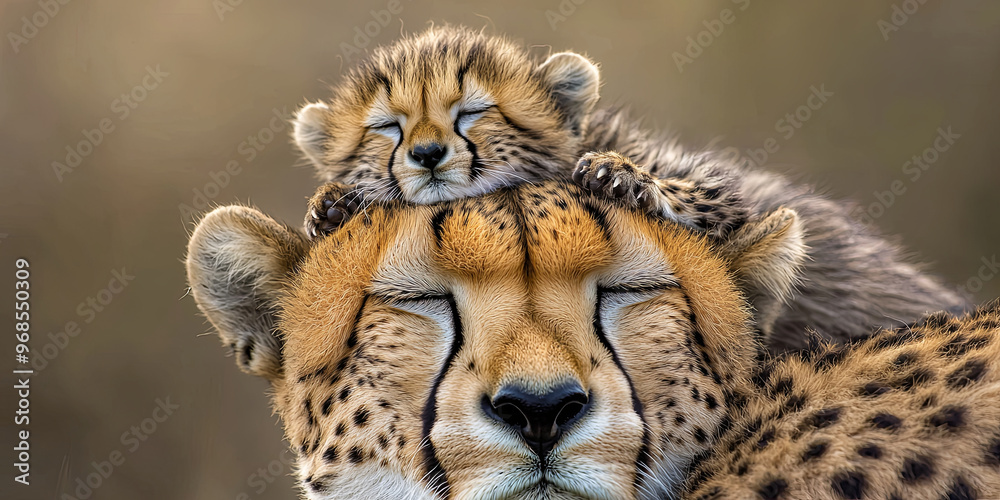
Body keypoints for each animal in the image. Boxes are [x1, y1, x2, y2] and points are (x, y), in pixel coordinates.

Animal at [290, 26, 967, 350]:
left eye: (473, 112)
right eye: (387, 127)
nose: (427, 155)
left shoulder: (720, 191)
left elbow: (713, 194)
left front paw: (622, 177)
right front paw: (333, 206)